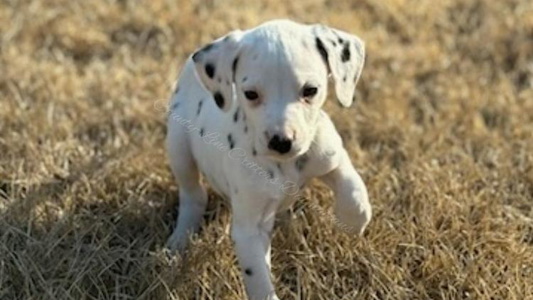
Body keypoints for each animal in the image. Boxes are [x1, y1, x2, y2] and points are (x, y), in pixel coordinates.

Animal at [165, 19, 370, 300]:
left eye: (311, 90)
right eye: (250, 94)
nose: (281, 142)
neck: (284, 165)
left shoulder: (330, 155)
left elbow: (353, 187)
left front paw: (353, 222)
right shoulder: (249, 230)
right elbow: (259, 279)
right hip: (179, 148)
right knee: (193, 195)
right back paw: (179, 240)